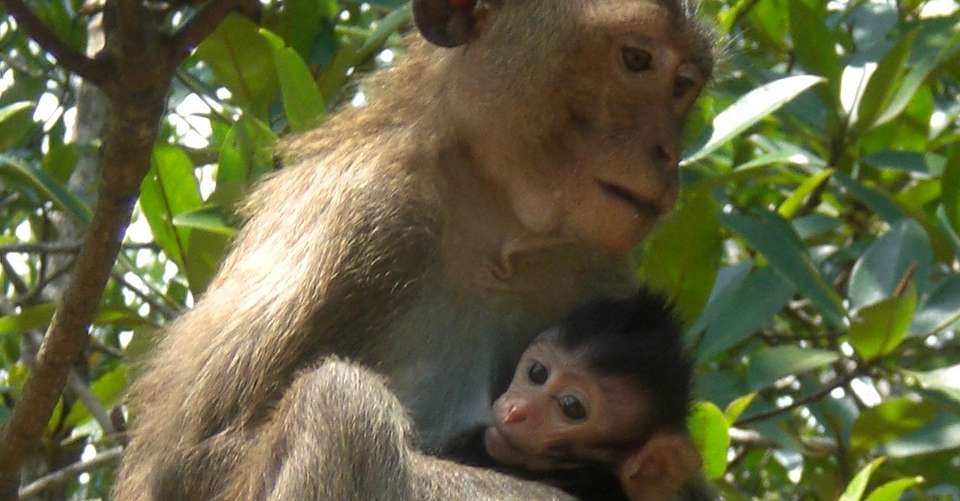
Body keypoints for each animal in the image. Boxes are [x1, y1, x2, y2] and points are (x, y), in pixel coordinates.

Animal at [113, 1, 716, 499]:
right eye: (636, 59)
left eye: (683, 83)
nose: (667, 152)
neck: (492, 228)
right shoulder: (352, 213)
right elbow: (187, 466)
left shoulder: (594, 263)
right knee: (341, 405)